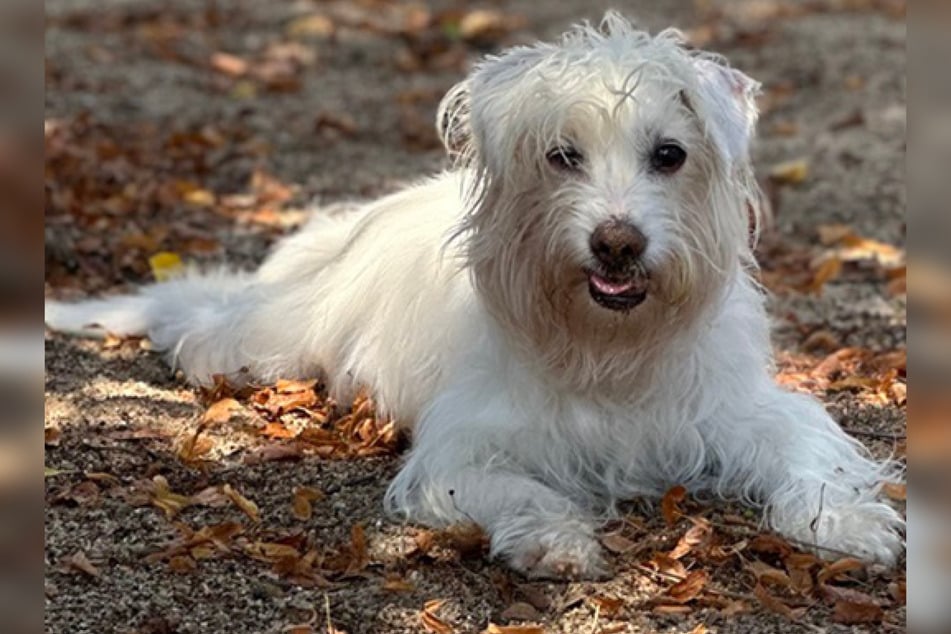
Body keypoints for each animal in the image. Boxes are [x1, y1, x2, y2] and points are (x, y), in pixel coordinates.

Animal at [46, 14, 908, 576]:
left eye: (670, 155)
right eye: (562, 156)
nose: (616, 243)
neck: (608, 347)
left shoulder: (747, 413)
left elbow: (811, 461)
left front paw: (849, 525)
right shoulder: (459, 450)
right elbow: (511, 487)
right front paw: (553, 539)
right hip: (272, 338)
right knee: (203, 333)